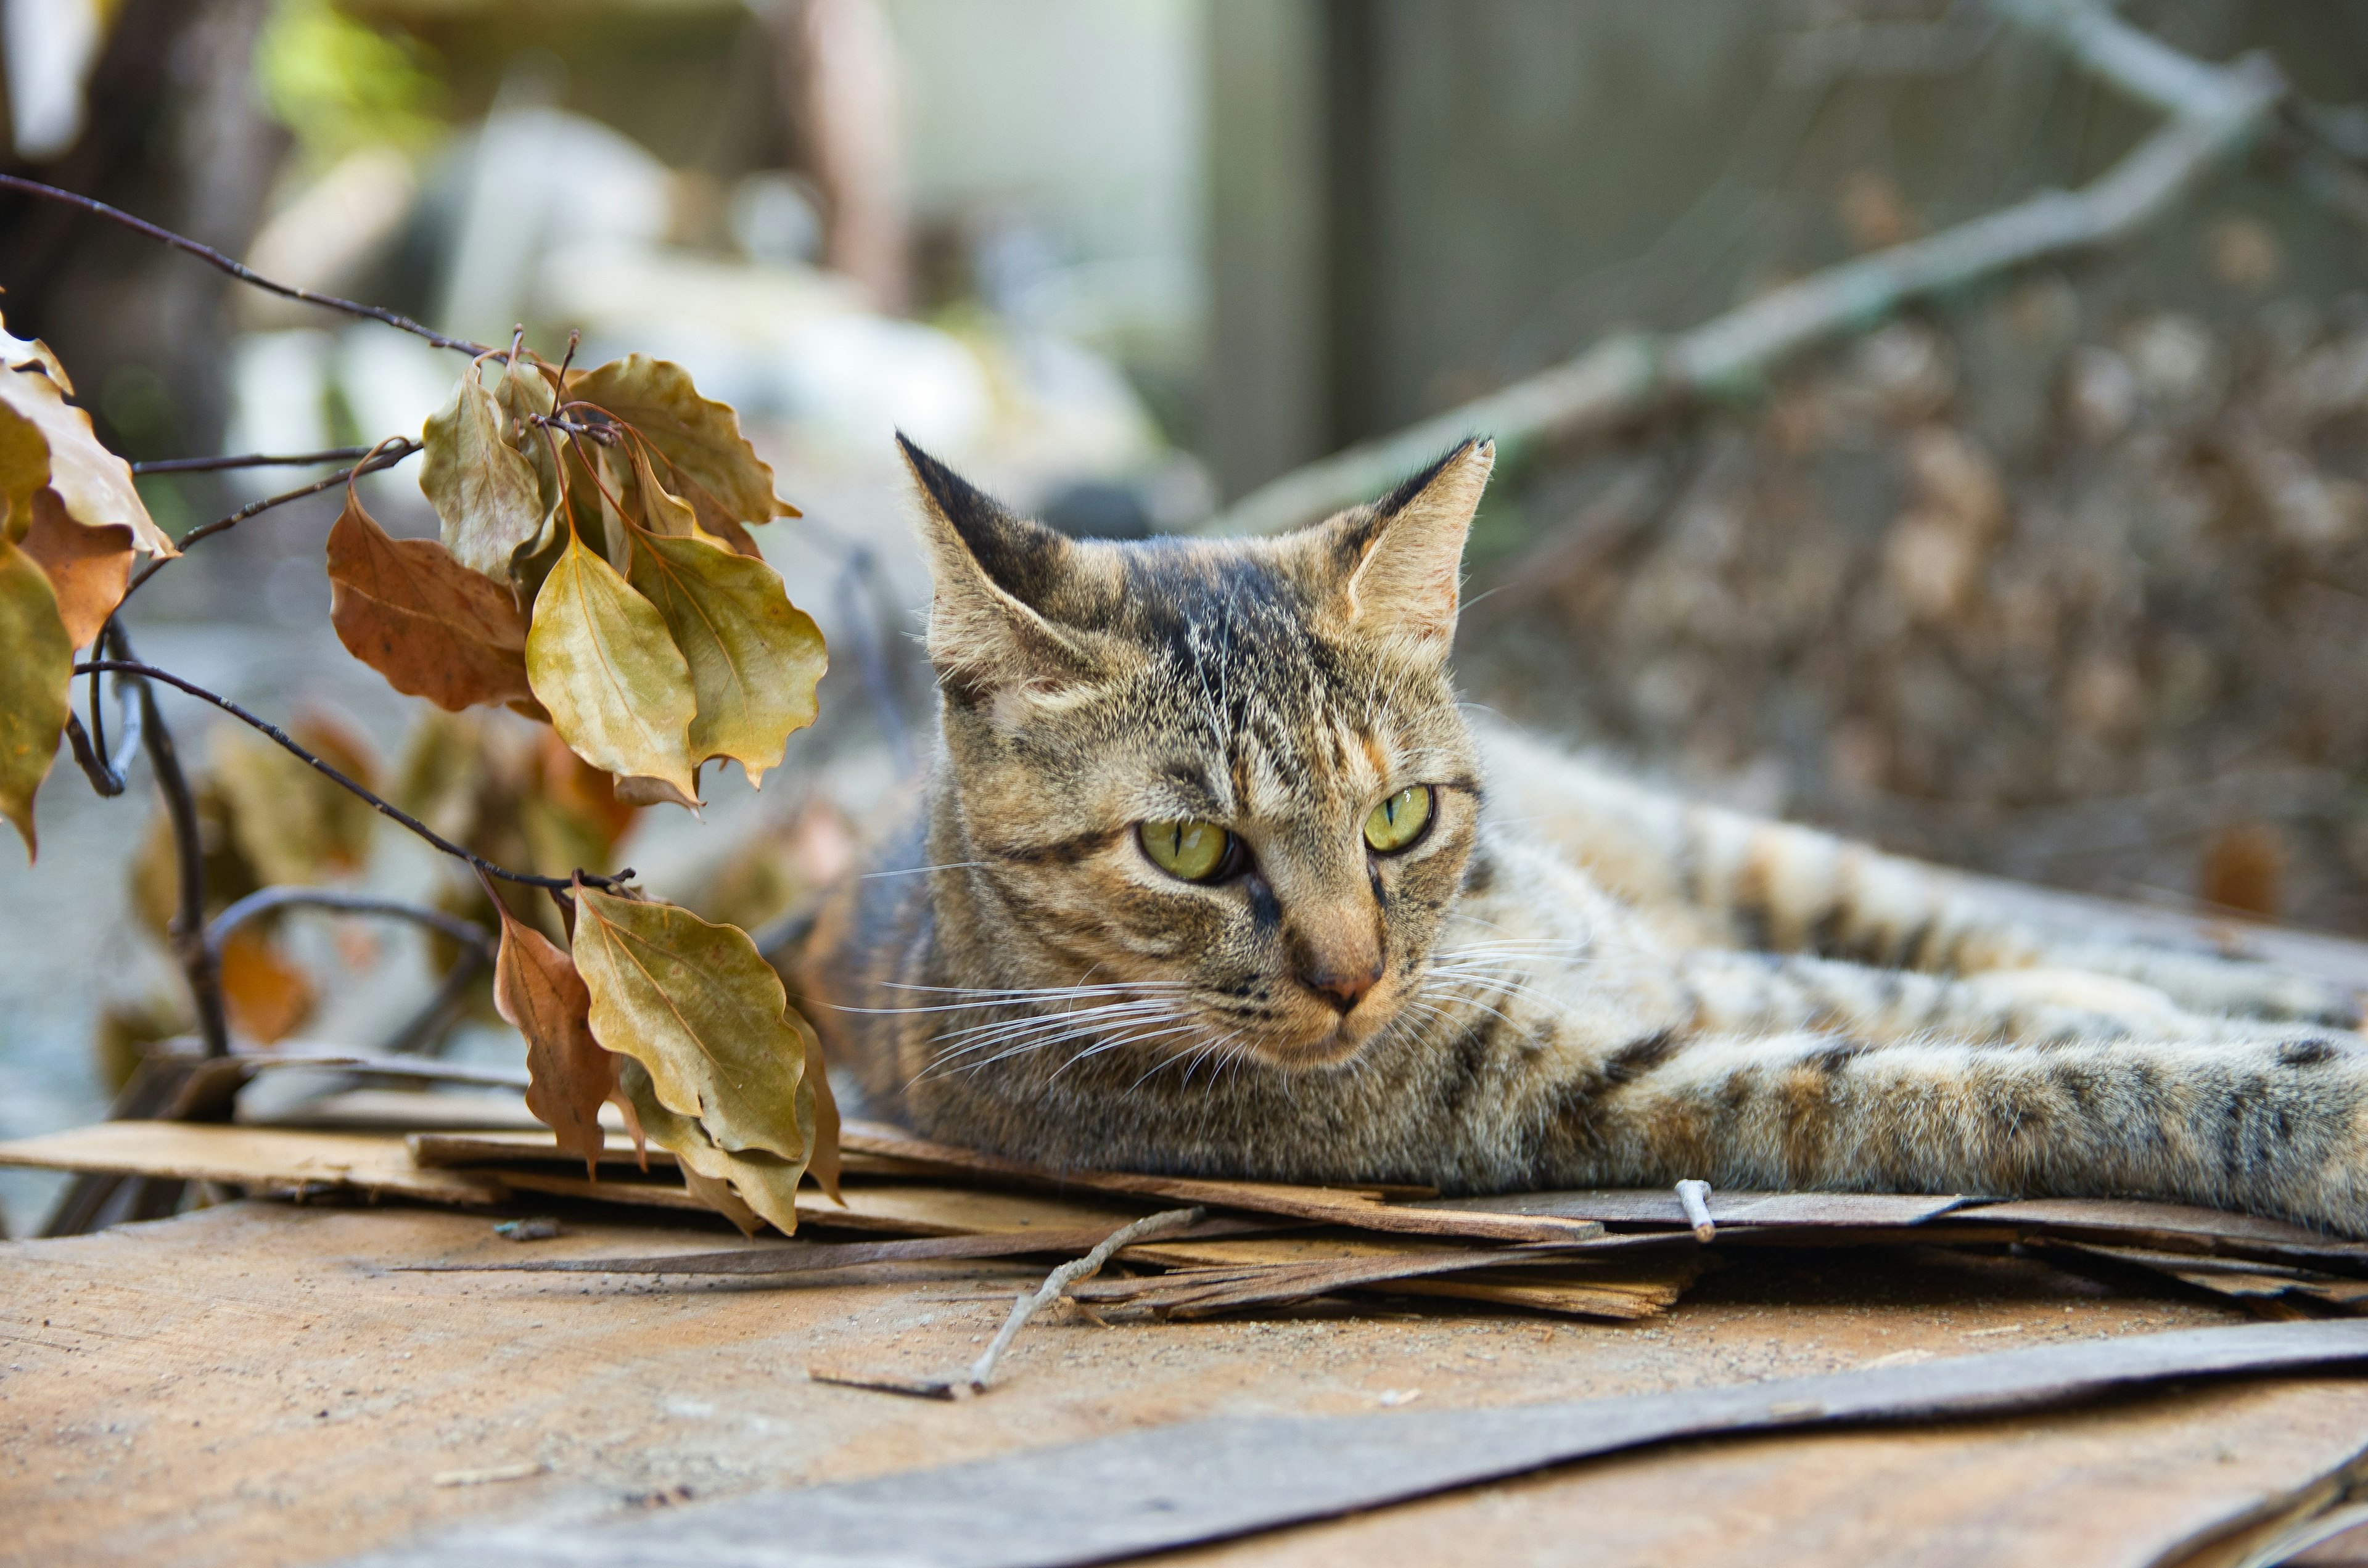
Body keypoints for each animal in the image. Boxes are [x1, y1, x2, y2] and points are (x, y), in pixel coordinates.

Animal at [796, 433, 2368, 1241]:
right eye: (1186, 850)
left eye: (1399, 813)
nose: (1352, 976)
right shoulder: (1621, 1085)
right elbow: (2036, 1079)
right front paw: (2314, 1112)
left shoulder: (1695, 969)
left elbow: (2018, 1000)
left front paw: (2243, 1024)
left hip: (1745, 857)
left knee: (1999, 932)